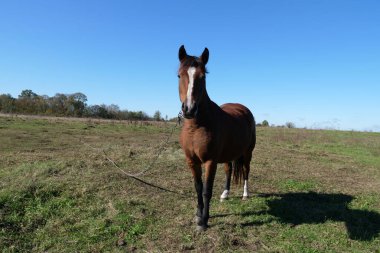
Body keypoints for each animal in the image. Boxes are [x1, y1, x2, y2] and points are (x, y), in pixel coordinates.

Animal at [177, 45, 255, 231]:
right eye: (179, 75)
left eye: (203, 77)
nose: (189, 109)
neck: (196, 127)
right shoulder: (192, 161)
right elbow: (198, 188)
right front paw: (198, 215)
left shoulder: (210, 161)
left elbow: (207, 190)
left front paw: (204, 221)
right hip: (229, 154)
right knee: (229, 171)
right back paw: (225, 194)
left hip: (247, 153)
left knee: (246, 170)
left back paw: (245, 194)